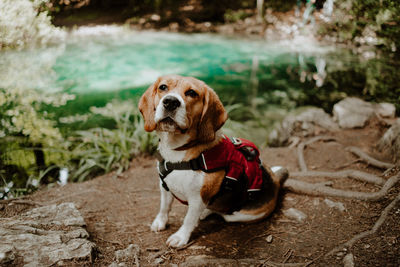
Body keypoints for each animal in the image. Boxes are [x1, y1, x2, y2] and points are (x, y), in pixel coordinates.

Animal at [138, 74, 288, 248]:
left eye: (192, 93)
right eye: (163, 87)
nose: (170, 102)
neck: (178, 152)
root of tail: (276, 181)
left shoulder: (197, 199)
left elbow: (188, 220)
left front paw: (180, 237)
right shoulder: (165, 187)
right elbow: (164, 207)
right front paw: (160, 222)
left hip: (238, 214)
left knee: (221, 212)